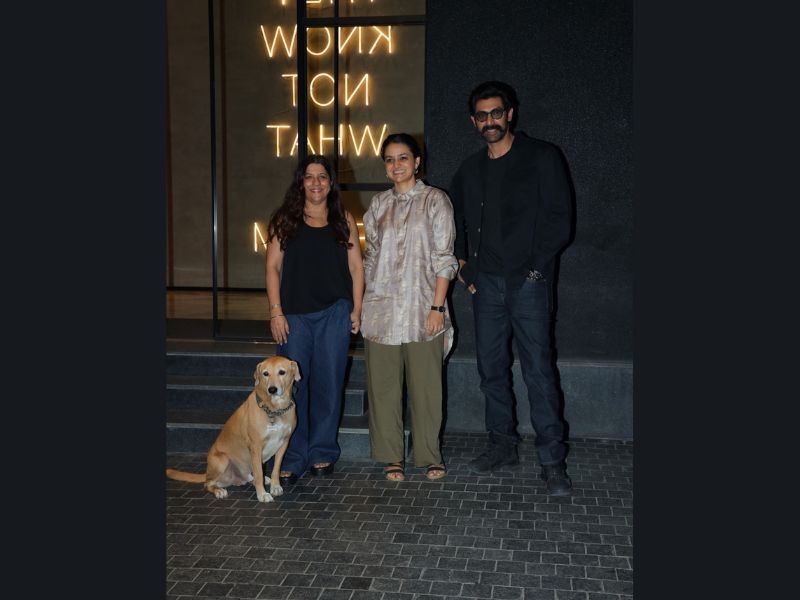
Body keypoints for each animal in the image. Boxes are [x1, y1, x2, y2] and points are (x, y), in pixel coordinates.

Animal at [166, 356, 300, 502]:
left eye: (282, 372)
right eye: (265, 374)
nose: (272, 389)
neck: (275, 409)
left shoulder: (284, 443)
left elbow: (276, 468)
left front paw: (275, 486)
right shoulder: (256, 446)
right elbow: (258, 473)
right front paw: (262, 494)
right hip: (222, 460)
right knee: (208, 483)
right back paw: (218, 491)